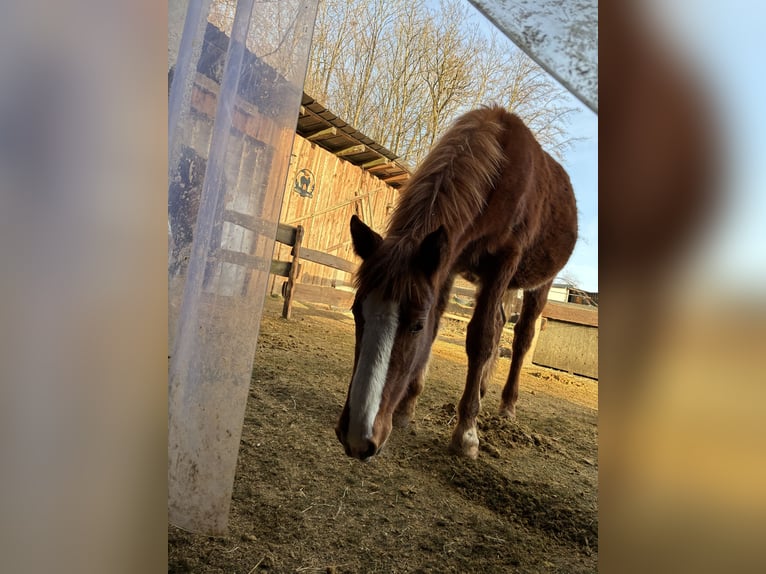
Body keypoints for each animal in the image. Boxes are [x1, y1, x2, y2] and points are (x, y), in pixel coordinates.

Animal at [335, 106, 578, 460]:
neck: (499, 175)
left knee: (521, 337)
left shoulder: (502, 263)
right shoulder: (446, 265)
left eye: (415, 326)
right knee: (501, 323)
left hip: (540, 284)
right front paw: (407, 409)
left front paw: (466, 434)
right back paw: (482, 389)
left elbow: (480, 338)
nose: (357, 437)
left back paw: (507, 406)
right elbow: (445, 329)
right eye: (356, 312)